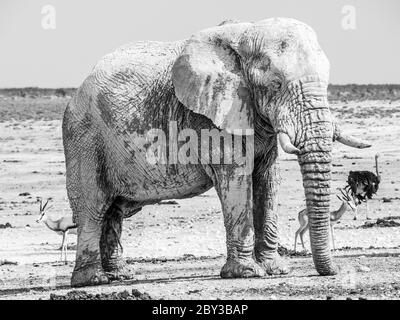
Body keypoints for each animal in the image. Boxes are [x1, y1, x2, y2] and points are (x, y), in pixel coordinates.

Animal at [63, 17, 372, 288]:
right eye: (276, 84)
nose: (335, 271)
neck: (246, 37)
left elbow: (267, 181)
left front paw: (275, 269)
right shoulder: (212, 119)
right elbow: (236, 180)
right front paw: (247, 273)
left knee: (114, 211)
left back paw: (121, 276)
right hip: (84, 138)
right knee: (93, 208)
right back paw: (92, 280)